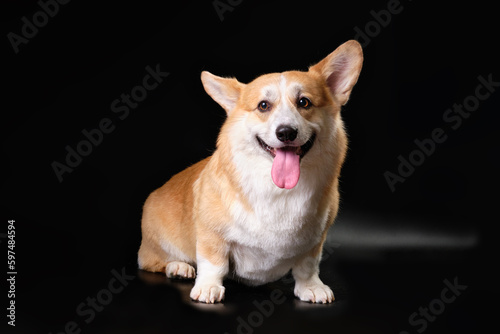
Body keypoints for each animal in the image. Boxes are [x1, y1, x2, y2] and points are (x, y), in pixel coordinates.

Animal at [139, 39, 362, 302]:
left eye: (304, 102)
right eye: (263, 106)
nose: (286, 132)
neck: (277, 190)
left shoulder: (315, 241)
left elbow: (308, 266)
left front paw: (311, 287)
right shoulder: (211, 234)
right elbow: (213, 263)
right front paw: (208, 287)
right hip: (155, 246)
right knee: (155, 261)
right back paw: (179, 266)